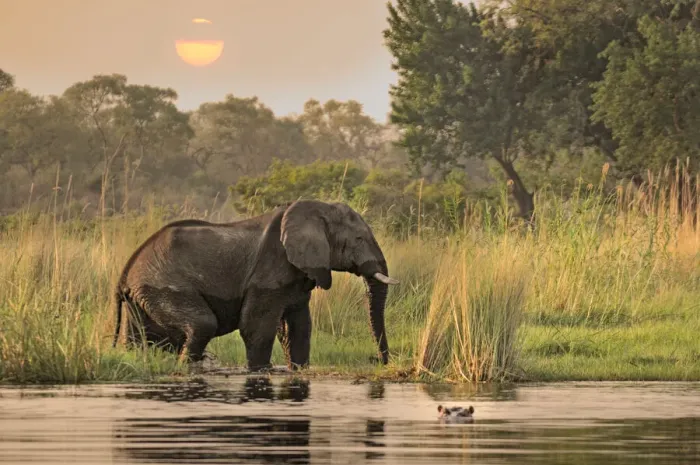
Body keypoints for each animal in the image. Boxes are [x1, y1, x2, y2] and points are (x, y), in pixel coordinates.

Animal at [111, 199, 399, 371]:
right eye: (359, 239)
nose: (380, 361)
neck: (318, 209)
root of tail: (125, 274)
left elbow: (298, 327)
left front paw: (298, 371)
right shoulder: (268, 273)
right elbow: (256, 327)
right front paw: (261, 371)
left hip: (141, 298)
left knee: (137, 337)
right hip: (164, 286)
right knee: (202, 325)